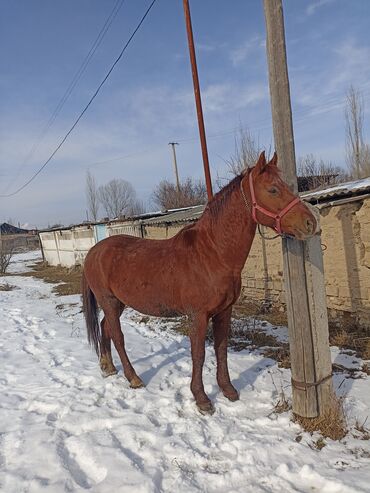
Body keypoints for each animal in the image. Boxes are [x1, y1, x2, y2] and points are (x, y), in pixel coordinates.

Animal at [81, 152, 318, 414]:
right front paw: (202, 398)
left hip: (118, 303)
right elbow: (199, 354)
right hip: (110, 301)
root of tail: (94, 252)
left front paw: (228, 390)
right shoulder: (198, 315)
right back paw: (133, 378)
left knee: (105, 327)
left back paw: (108, 367)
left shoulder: (224, 312)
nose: (310, 223)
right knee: (117, 335)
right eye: (273, 189)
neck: (212, 254)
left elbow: (221, 350)